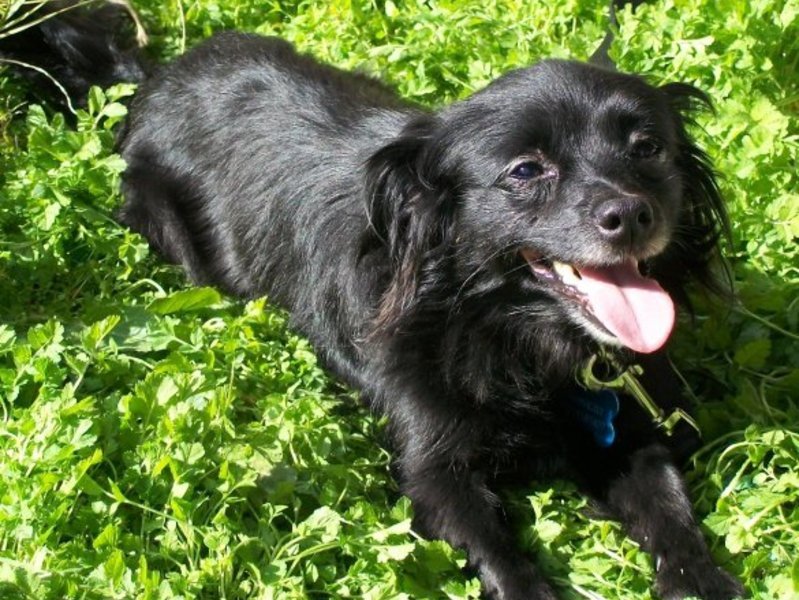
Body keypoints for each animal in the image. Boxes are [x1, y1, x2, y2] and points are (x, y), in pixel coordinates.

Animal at [3, 4, 748, 600]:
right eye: (526, 171)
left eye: (648, 148)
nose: (632, 213)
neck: (508, 334)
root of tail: (155, 76)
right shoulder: (432, 469)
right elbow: (503, 558)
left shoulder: (633, 429)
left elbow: (672, 513)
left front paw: (702, 580)